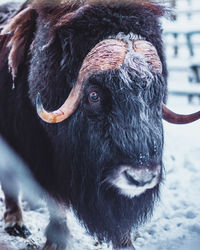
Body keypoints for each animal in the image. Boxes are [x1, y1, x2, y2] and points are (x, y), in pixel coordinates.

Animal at [0, 0, 199, 249]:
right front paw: (55, 242)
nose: (140, 177)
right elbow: (56, 203)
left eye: (156, 91)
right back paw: (15, 223)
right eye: (94, 95)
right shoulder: (46, 160)